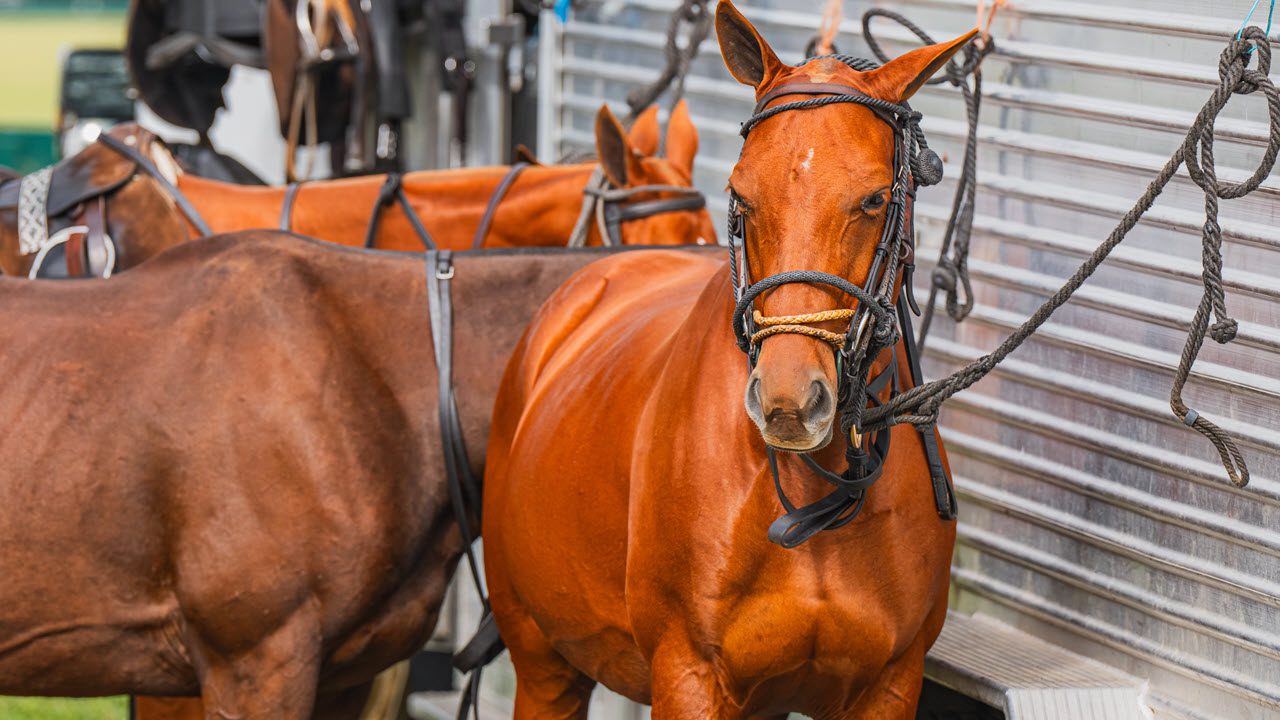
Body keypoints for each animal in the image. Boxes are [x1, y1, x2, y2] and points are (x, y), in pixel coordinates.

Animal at [481, 2, 976, 717]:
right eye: (740, 195)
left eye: (875, 199)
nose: (790, 400)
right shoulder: (689, 675)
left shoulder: (890, 682)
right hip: (542, 660)